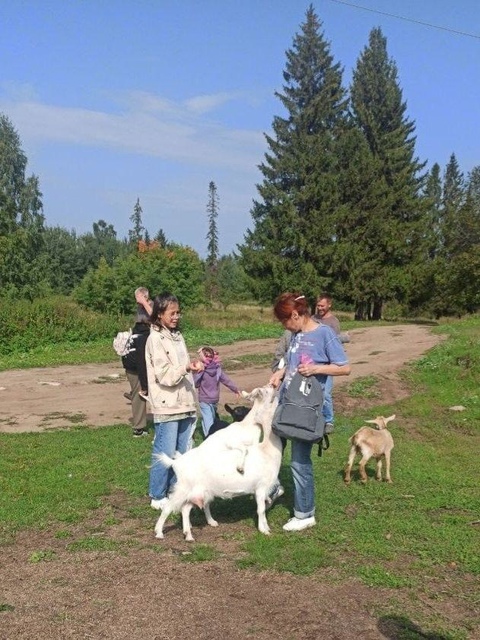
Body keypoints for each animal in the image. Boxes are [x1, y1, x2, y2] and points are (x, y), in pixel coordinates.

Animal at [154, 382, 282, 544]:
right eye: (265, 392)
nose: (274, 384)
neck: (266, 451)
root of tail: (176, 463)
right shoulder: (260, 487)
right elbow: (261, 509)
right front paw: (264, 530)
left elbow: (264, 506)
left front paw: (267, 528)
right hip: (183, 488)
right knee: (169, 507)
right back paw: (159, 532)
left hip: (198, 491)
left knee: (186, 508)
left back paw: (189, 534)